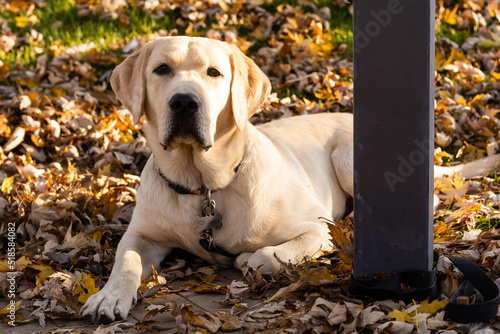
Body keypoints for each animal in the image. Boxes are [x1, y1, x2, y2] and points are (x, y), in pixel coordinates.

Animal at [83, 36, 500, 324]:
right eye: (162, 70)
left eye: (213, 73)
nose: (184, 102)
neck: (205, 185)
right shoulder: (142, 234)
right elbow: (127, 261)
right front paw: (109, 296)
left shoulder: (315, 229)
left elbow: (265, 255)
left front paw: (251, 258)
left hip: (348, 156)